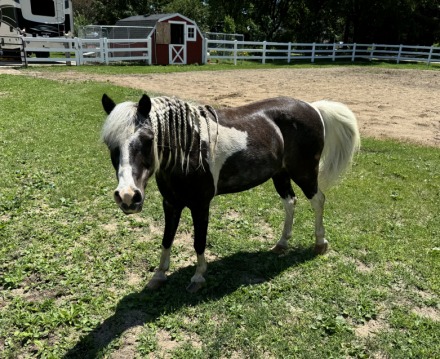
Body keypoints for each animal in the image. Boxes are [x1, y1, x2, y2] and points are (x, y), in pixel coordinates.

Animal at [101, 94, 360, 294]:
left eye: (148, 140)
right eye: (109, 144)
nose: (127, 196)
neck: (188, 148)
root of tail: (313, 107)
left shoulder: (200, 205)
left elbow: (199, 241)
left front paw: (198, 278)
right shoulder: (171, 203)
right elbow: (166, 239)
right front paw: (159, 275)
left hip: (304, 172)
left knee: (318, 200)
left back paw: (320, 243)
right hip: (281, 174)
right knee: (290, 202)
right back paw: (281, 244)